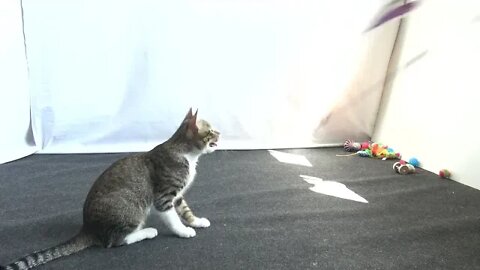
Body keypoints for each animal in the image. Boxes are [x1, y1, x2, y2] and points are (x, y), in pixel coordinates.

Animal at [0, 108, 219, 270]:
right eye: (211, 131)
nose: (220, 133)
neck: (188, 156)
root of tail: (88, 227)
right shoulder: (164, 197)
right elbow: (172, 218)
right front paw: (183, 231)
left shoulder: (177, 196)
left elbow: (185, 211)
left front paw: (197, 221)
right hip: (132, 210)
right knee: (115, 241)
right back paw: (147, 232)